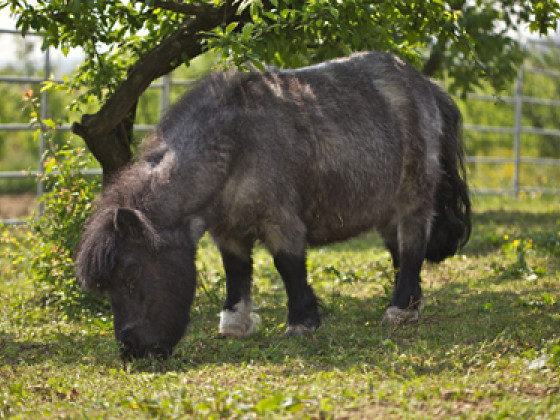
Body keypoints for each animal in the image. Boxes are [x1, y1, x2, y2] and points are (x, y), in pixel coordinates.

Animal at [73, 50, 468, 360]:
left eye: (132, 273)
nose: (131, 349)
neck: (235, 144)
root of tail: (425, 85)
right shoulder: (227, 230)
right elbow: (236, 271)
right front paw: (235, 324)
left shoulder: (281, 220)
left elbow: (288, 266)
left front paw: (302, 322)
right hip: (385, 207)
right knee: (400, 251)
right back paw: (412, 304)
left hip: (413, 195)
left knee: (413, 245)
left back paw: (399, 309)